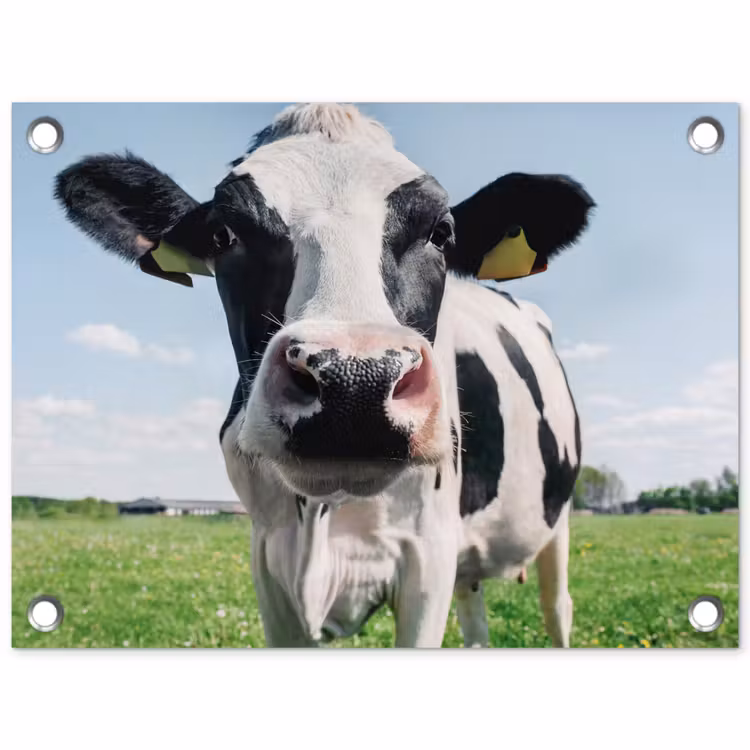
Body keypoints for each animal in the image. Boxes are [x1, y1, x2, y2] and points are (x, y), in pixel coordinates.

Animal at [53, 103, 594, 648]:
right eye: (223, 234)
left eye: (441, 232)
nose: (356, 382)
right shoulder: (269, 559)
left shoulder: (429, 555)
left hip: (557, 522)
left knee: (559, 607)